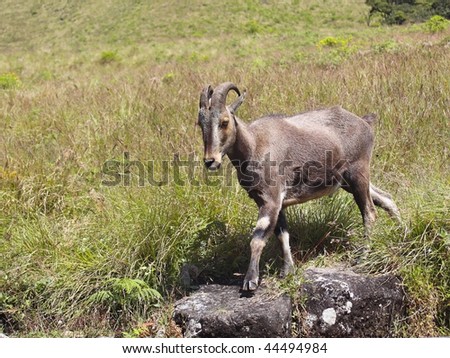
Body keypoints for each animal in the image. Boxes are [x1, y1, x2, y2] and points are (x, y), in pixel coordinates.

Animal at [198, 82, 400, 290]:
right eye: (200, 123)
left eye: (224, 122)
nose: (210, 161)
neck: (254, 145)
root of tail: (365, 123)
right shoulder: (273, 201)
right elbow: (282, 235)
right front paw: (288, 271)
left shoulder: (270, 199)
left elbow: (257, 239)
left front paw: (250, 280)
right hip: (348, 181)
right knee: (387, 198)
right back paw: (402, 232)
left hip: (358, 173)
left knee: (369, 212)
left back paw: (363, 256)